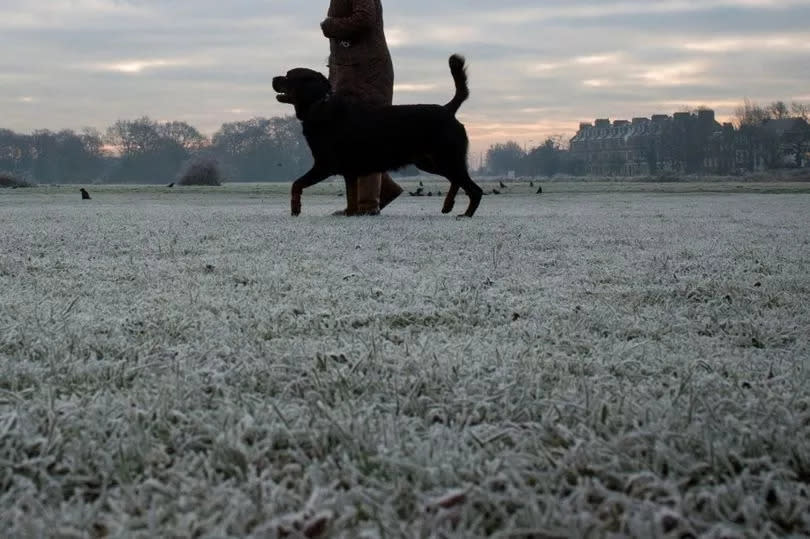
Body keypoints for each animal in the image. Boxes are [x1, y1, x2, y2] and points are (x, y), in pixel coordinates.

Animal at [274, 53, 482, 217]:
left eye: (289, 76)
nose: (274, 78)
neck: (319, 106)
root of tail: (448, 109)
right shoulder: (350, 170)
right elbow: (351, 198)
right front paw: (350, 214)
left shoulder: (325, 165)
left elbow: (296, 184)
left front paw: (295, 208)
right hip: (430, 162)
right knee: (457, 180)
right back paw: (448, 206)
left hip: (445, 158)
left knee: (474, 189)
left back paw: (466, 214)